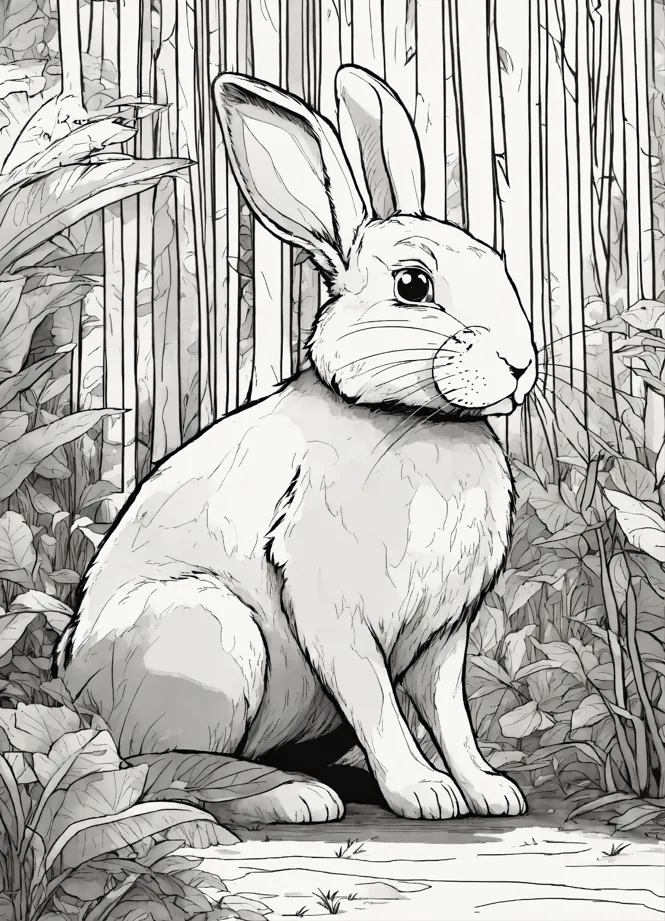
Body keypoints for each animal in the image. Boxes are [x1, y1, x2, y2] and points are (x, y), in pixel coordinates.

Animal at [54, 64, 537, 826]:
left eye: (496, 262)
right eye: (412, 284)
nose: (520, 363)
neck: (410, 420)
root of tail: (78, 694)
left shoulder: (442, 634)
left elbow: (450, 713)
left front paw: (487, 790)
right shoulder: (331, 607)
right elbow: (378, 705)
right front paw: (425, 793)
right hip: (209, 629)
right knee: (154, 768)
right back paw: (294, 796)